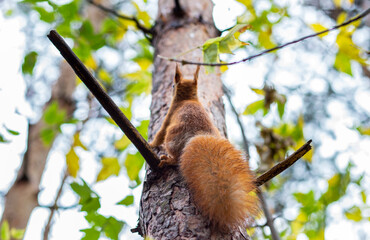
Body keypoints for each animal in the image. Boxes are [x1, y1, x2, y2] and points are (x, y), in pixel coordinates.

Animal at [149, 65, 258, 231]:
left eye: (173, 85)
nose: (171, 88)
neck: (188, 98)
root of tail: (198, 134)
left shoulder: (169, 114)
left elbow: (159, 134)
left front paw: (150, 144)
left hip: (172, 138)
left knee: (175, 155)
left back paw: (168, 160)